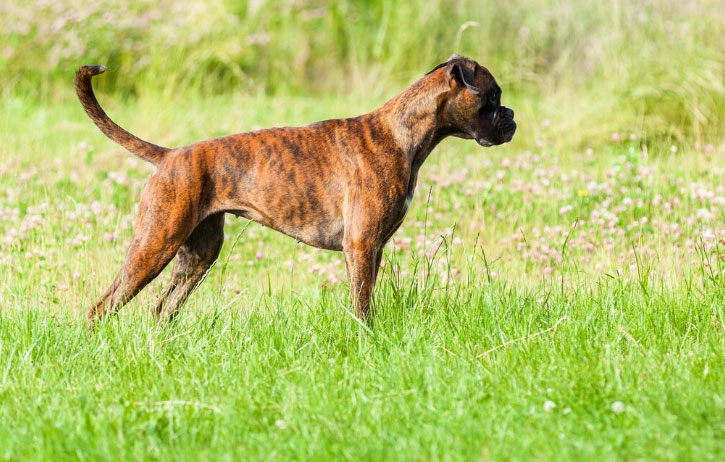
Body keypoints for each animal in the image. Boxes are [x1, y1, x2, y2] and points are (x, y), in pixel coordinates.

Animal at [75, 54, 516, 324]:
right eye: (493, 97)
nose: (512, 118)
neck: (401, 133)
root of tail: (169, 156)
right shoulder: (361, 246)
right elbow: (362, 305)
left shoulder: (372, 249)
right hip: (154, 246)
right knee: (104, 306)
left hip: (196, 256)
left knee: (162, 308)